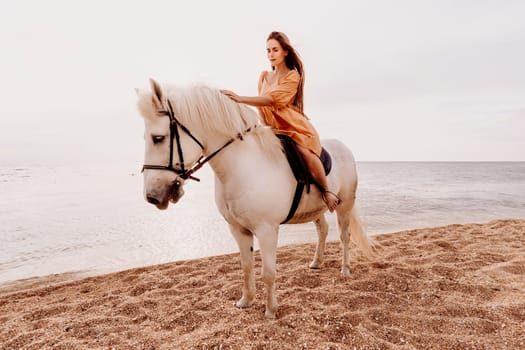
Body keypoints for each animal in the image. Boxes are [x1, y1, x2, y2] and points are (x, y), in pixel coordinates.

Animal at [137, 78, 374, 318]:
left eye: (158, 138)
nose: (152, 196)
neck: (243, 166)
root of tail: (344, 147)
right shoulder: (238, 229)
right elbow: (246, 267)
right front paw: (246, 301)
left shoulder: (267, 230)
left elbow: (268, 272)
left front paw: (270, 311)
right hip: (316, 209)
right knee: (323, 230)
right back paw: (317, 262)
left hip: (345, 205)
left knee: (345, 236)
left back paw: (345, 270)